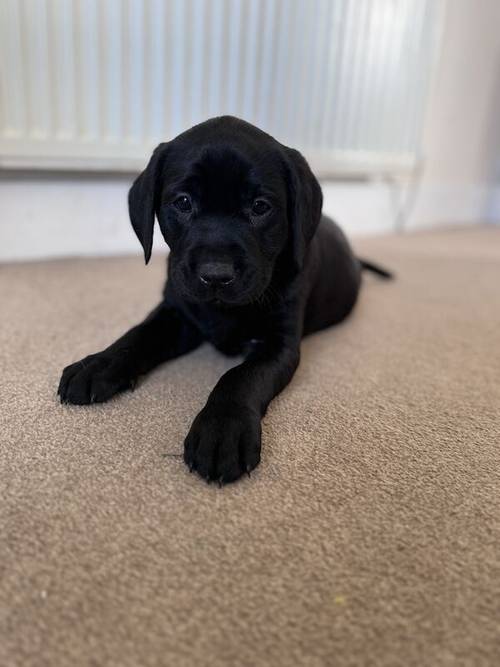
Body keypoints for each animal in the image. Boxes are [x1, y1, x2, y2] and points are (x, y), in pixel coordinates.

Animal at [58, 116, 392, 486]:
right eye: (183, 202)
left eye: (260, 207)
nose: (215, 274)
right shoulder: (177, 312)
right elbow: (138, 334)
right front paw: (98, 363)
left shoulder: (279, 344)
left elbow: (240, 376)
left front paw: (222, 431)